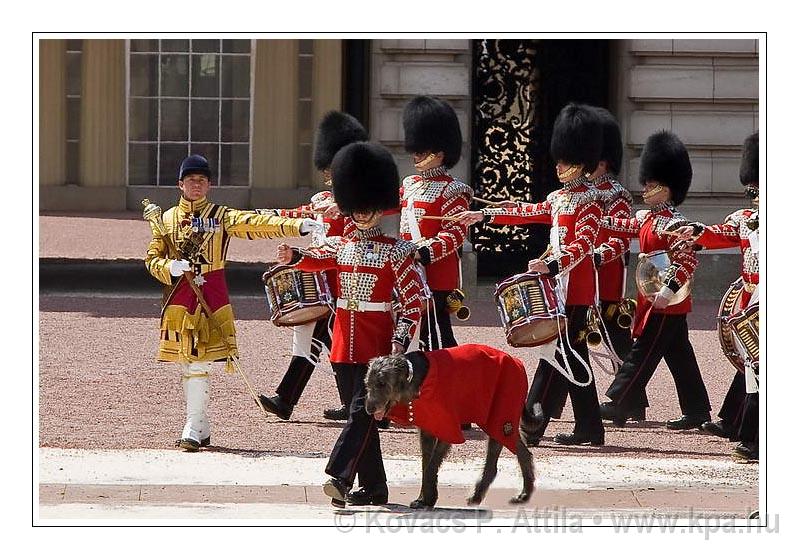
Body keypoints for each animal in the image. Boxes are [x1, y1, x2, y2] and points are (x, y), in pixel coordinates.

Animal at [366, 344, 536, 510]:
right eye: (368, 384)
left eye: (382, 383)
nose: (368, 409)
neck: (418, 379)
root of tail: (516, 361)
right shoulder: (428, 427)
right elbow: (426, 462)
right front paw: (424, 499)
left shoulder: (448, 426)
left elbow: (431, 465)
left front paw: (428, 498)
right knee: (523, 453)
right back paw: (521, 494)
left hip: (501, 414)